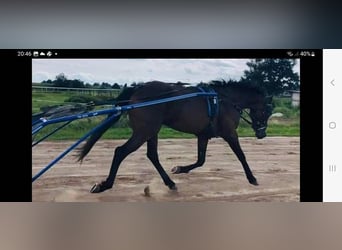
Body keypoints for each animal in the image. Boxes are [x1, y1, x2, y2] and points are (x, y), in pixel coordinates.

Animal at [77, 80, 272, 193]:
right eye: (267, 111)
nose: (262, 134)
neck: (225, 100)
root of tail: (138, 89)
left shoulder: (203, 135)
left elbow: (201, 160)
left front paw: (180, 168)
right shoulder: (230, 133)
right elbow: (241, 156)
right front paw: (252, 178)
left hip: (151, 131)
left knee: (152, 155)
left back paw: (170, 182)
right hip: (144, 131)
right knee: (120, 152)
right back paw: (105, 184)